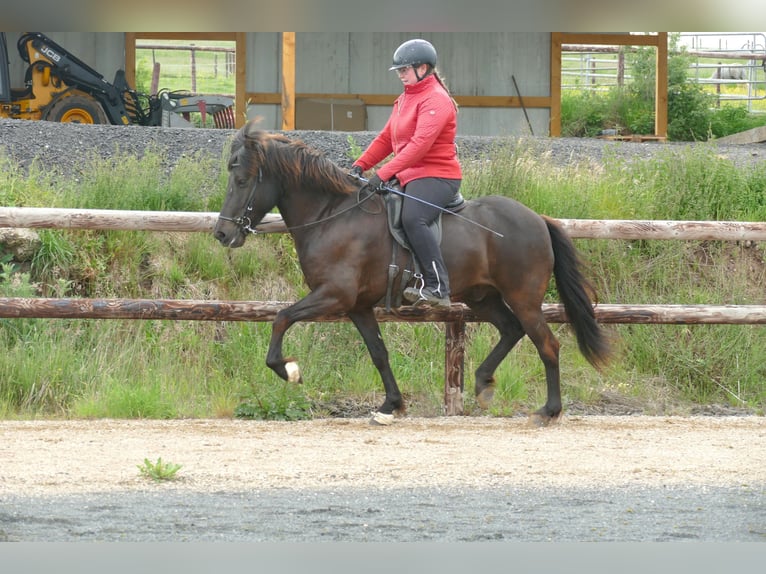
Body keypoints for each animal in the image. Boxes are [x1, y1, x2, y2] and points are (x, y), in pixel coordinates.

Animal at [214, 123, 611, 426]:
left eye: (243, 179)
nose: (222, 234)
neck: (332, 215)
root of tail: (538, 220)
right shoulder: (357, 306)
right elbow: (378, 352)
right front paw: (391, 405)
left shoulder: (334, 295)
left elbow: (281, 318)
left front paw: (287, 369)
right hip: (482, 297)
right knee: (511, 330)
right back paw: (483, 383)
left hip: (523, 298)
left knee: (547, 344)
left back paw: (549, 411)